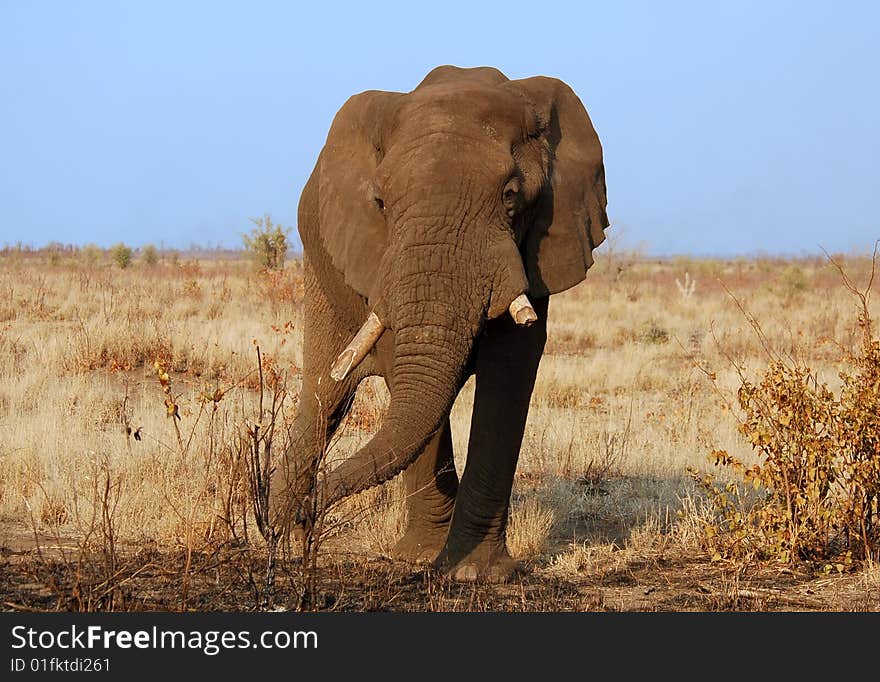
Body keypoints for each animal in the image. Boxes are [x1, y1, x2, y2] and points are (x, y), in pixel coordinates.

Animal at [274, 65, 604, 580]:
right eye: (380, 202)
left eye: (511, 197)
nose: (309, 519)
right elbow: (398, 363)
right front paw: (426, 560)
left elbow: (511, 370)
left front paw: (475, 574)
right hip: (321, 260)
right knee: (325, 397)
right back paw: (274, 535)